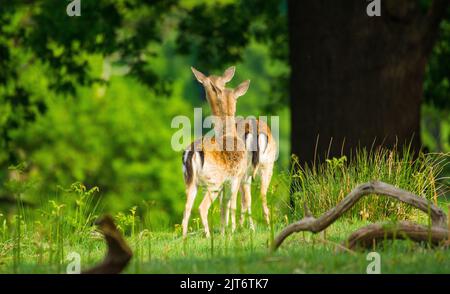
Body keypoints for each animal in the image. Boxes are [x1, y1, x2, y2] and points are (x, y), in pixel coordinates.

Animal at [181, 69, 251, 239]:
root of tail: (192, 152)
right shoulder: (236, 177)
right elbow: (232, 204)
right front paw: (232, 231)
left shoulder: (226, 183)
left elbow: (223, 207)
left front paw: (225, 232)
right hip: (214, 182)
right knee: (202, 207)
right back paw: (208, 236)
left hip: (190, 181)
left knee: (186, 209)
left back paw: (184, 238)